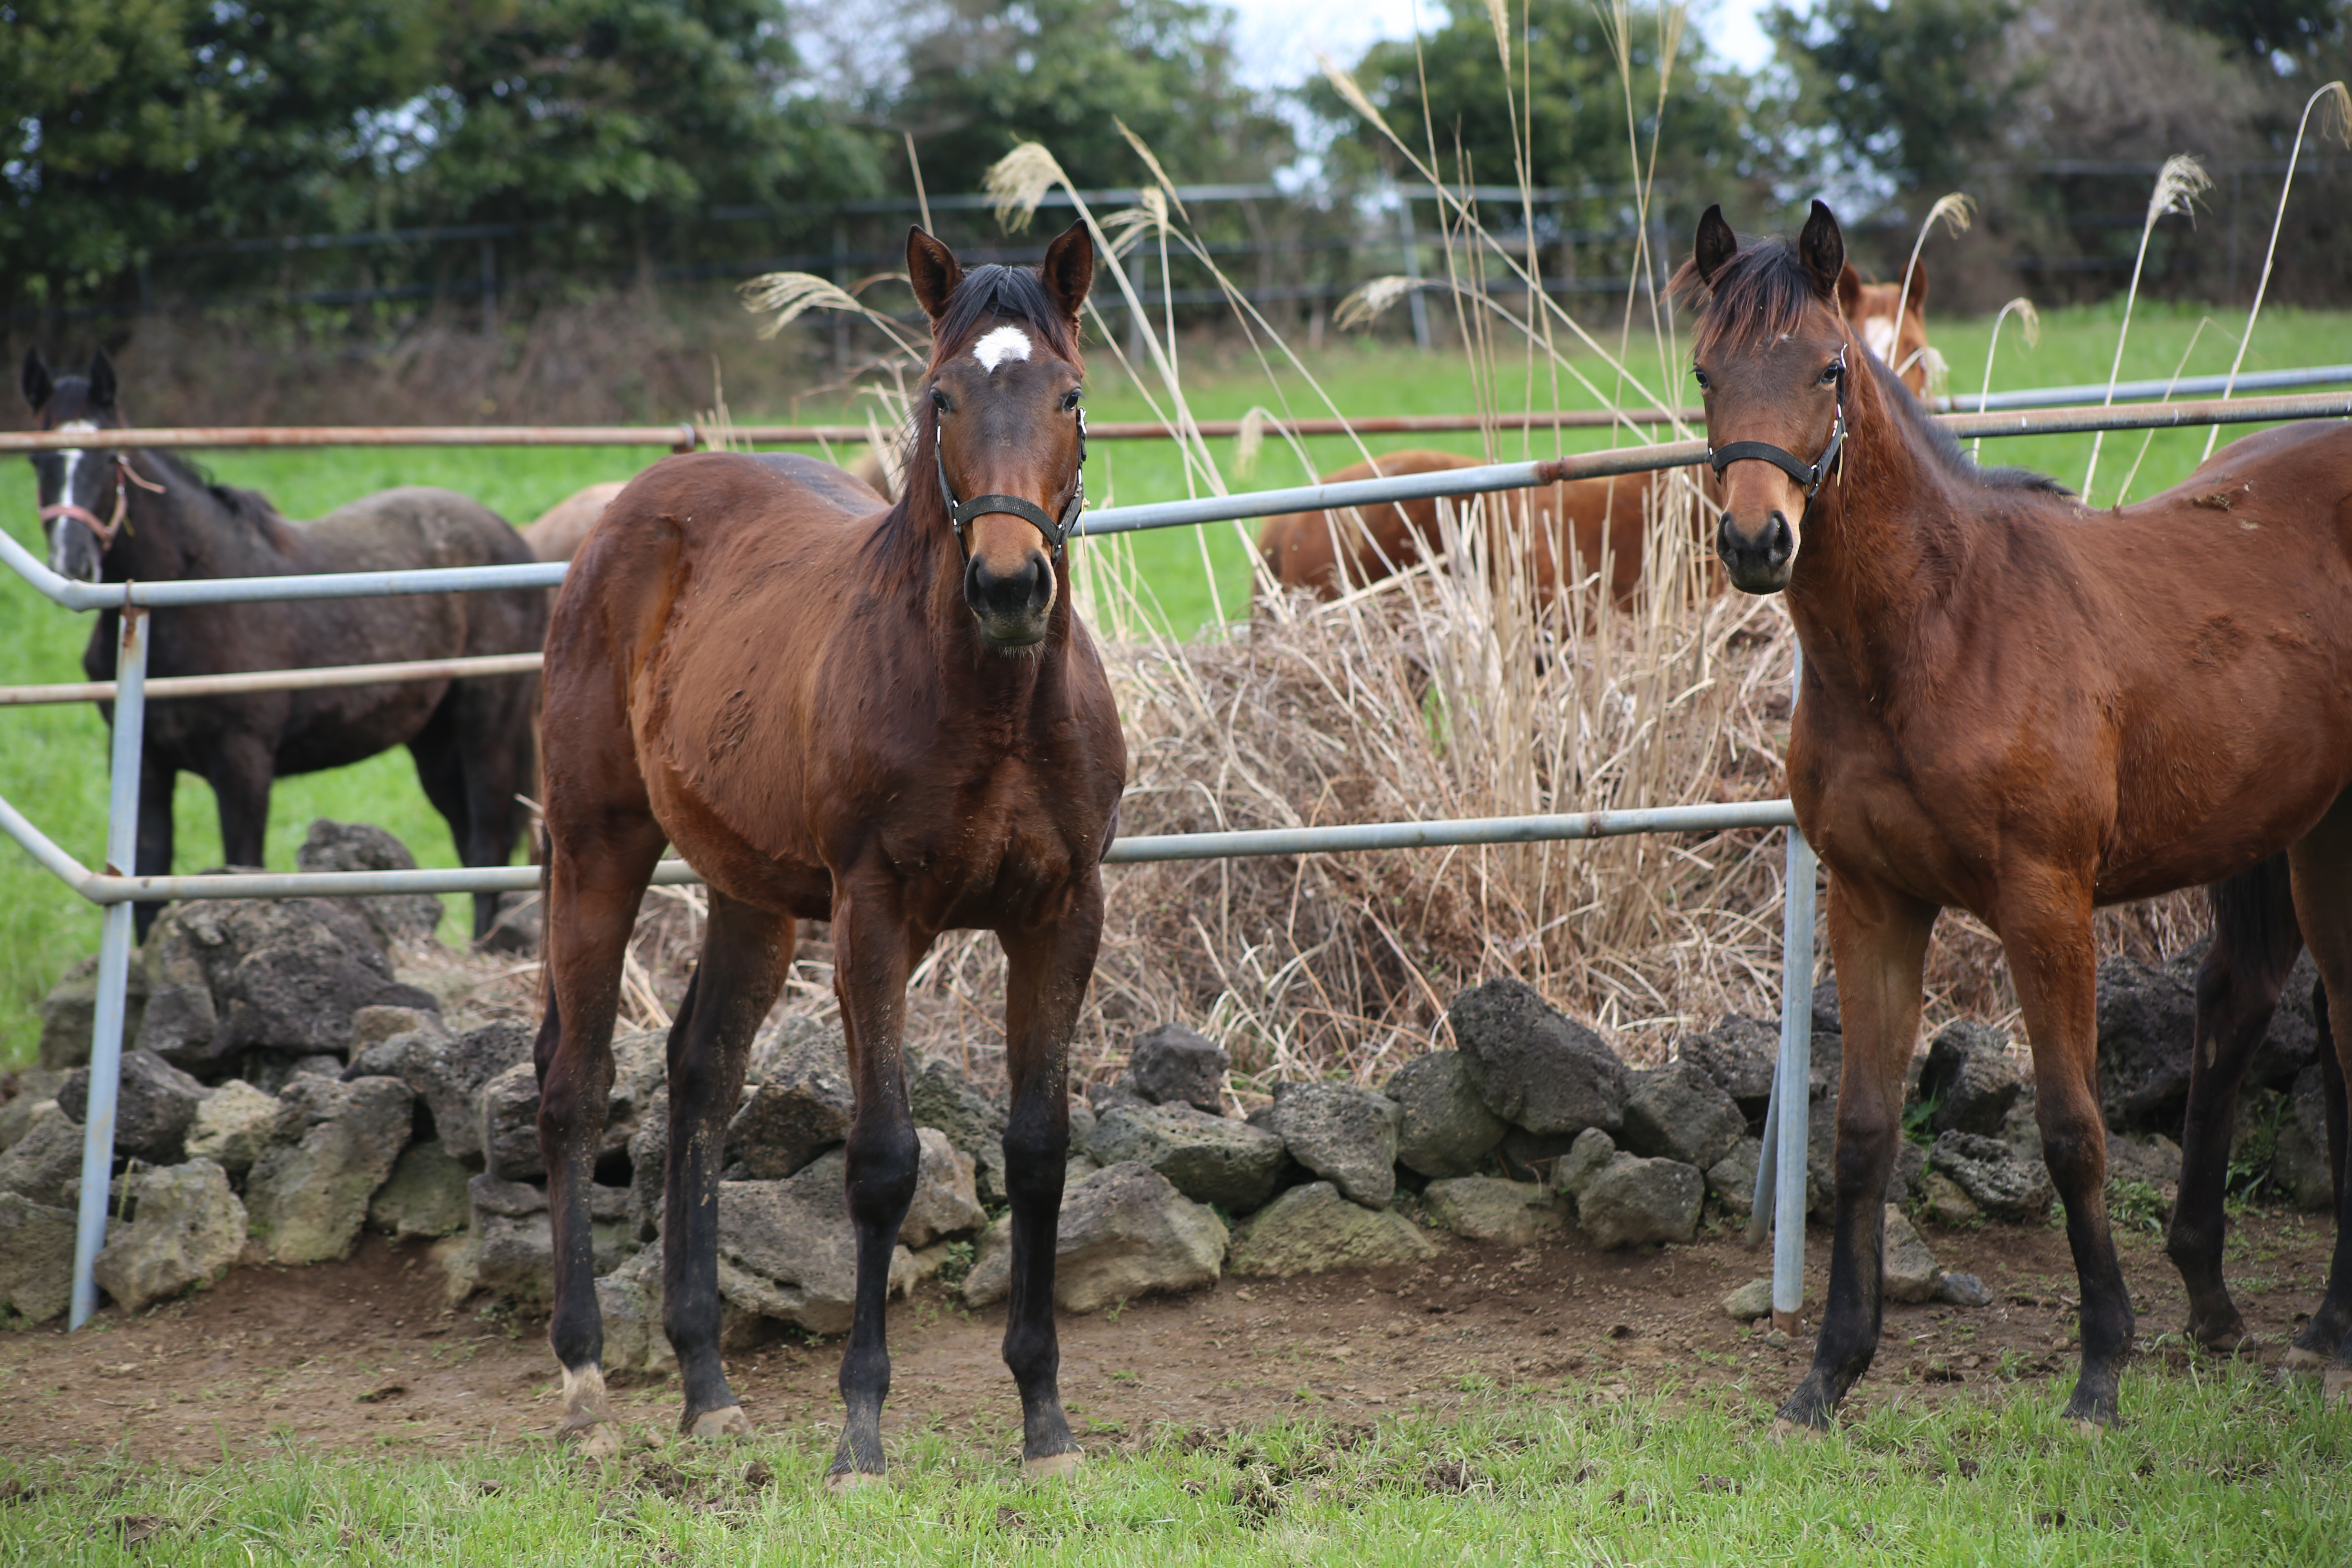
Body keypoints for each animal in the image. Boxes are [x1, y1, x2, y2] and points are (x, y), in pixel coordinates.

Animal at [534, 221, 1119, 1486]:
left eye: (1069, 395)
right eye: (942, 395)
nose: (1010, 585)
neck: (994, 702)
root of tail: (624, 510)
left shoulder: (1062, 914)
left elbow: (1040, 1149)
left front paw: (1046, 1422)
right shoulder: (875, 916)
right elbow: (883, 1161)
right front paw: (860, 1433)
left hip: (747, 892)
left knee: (700, 1074)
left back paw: (707, 1387)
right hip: (596, 849)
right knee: (575, 1084)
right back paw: (586, 1384)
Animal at [1675, 200, 2352, 1439]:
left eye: (1828, 368)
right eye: (1706, 371)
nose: (1755, 543)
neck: (1937, 630)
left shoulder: (2046, 906)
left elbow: (2073, 1132)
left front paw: (2099, 1371)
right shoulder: (1875, 902)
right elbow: (1860, 1135)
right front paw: (1829, 1372)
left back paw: (2318, 1326)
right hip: (2289, 844)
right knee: (2263, 1013)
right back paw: (2253, 1314)